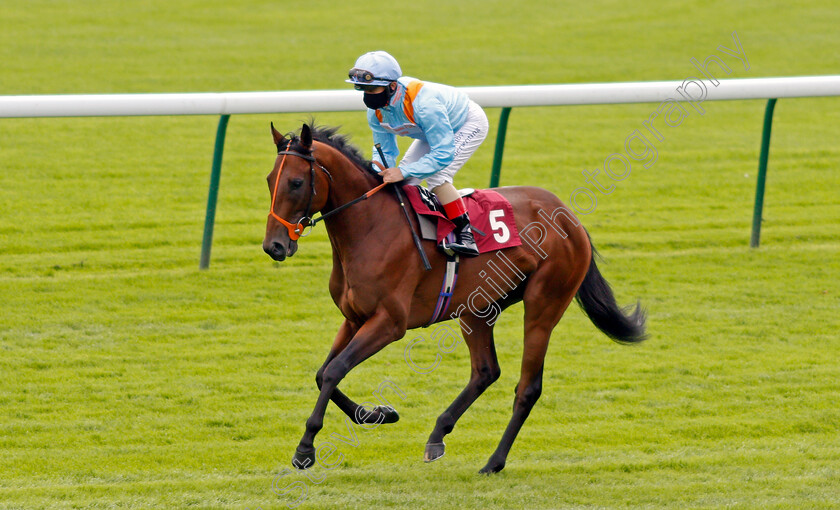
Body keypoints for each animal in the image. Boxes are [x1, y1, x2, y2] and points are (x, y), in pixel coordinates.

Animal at [266, 122, 648, 474]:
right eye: (270, 180)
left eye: (296, 183)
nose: (274, 246)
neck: (371, 226)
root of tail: (570, 217)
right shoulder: (354, 318)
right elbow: (324, 372)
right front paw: (377, 413)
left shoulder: (389, 323)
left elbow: (335, 371)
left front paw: (305, 448)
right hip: (477, 309)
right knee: (485, 371)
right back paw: (438, 435)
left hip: (544, 305)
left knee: (528, 387)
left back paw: (494, 462)